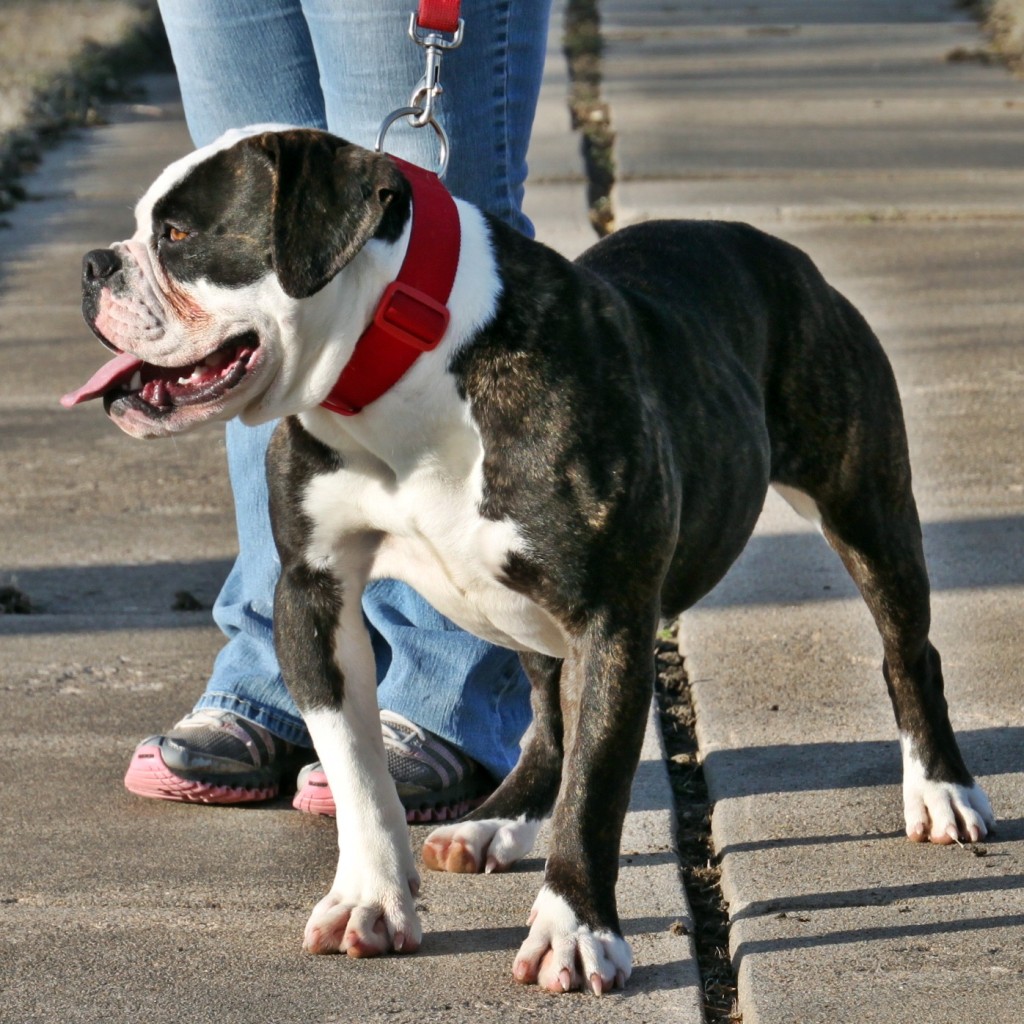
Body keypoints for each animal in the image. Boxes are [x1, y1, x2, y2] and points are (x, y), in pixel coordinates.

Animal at [61, 125, 991, 991]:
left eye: (179, 235)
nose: (94, 264)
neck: (405, 370)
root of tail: (785, 253)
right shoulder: (313, 598)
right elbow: (357, 770)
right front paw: (370, 900)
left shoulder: (611, 622)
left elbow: (597, 790)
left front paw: (574, 933)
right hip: (523, 615)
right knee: (545, 725)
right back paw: (491, 823)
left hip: (866, 512)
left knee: (908, 651)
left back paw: (941, 791)